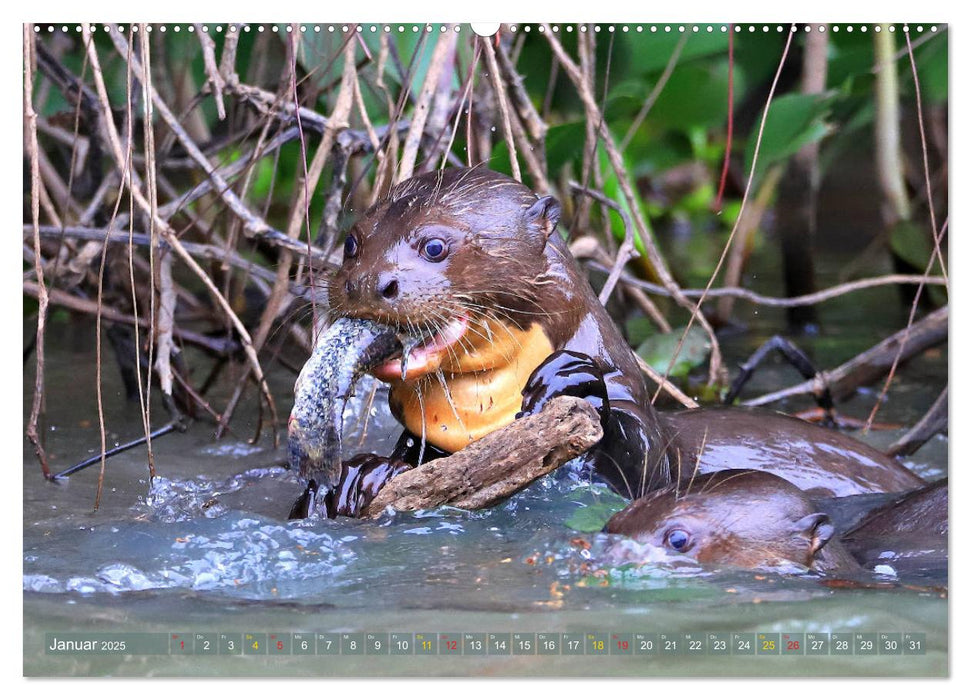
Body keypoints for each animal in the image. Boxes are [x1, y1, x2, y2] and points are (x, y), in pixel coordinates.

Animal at [288, 168, 928, 520]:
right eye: (352, 242)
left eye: (435, 246)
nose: (368, 283)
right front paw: (363, 474)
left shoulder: (636, 413)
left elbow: (649, 468)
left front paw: (570, 379)